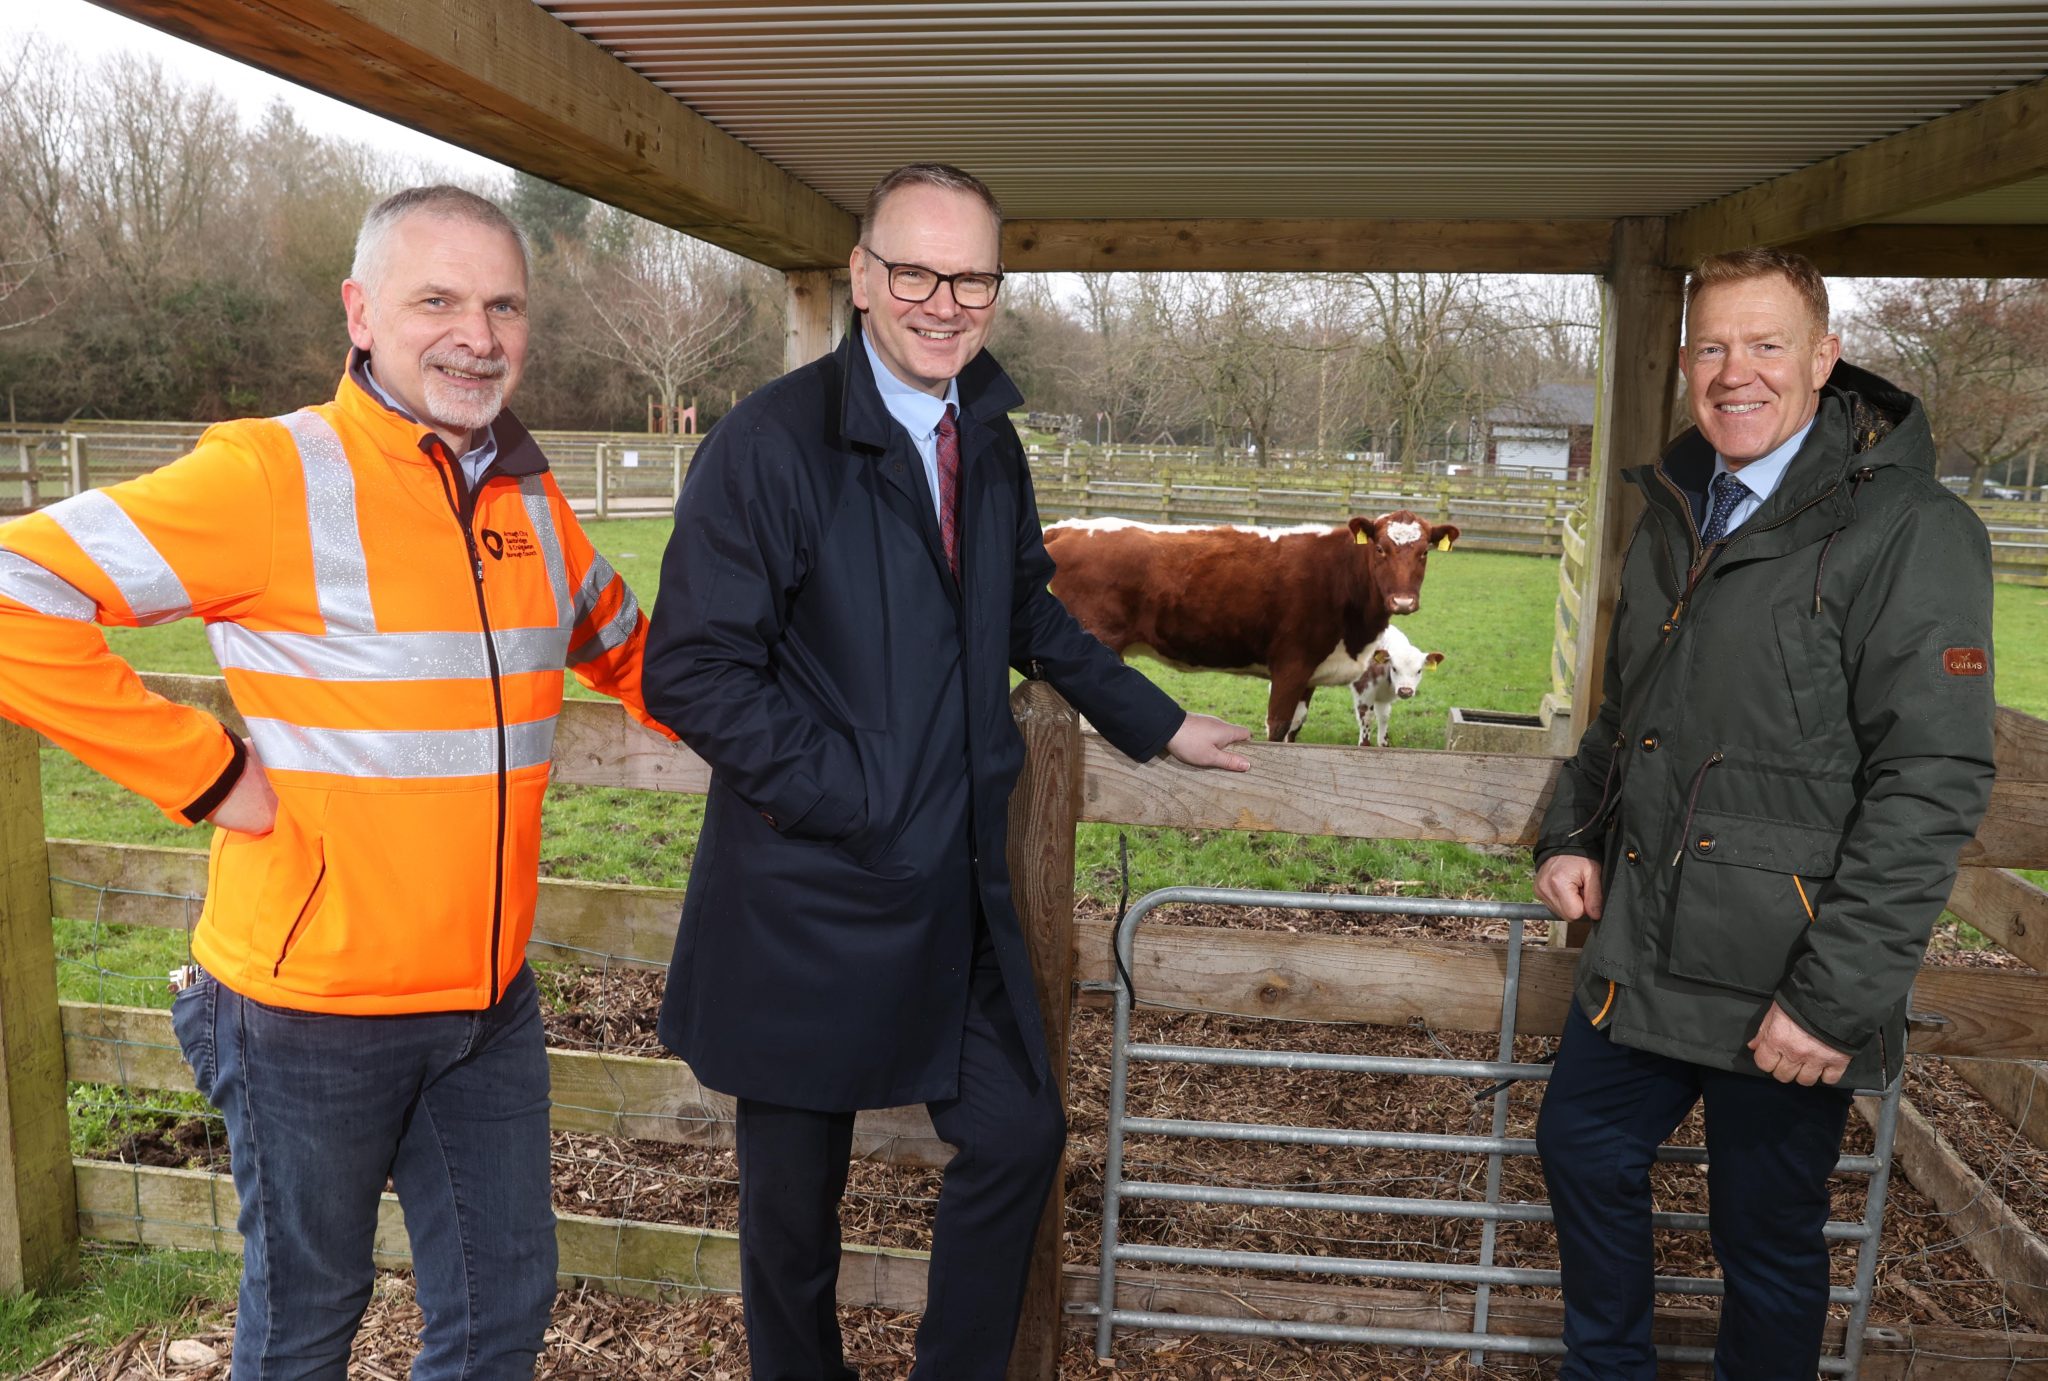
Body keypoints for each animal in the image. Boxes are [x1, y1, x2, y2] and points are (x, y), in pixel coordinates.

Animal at [1040, 508, 1458, 741]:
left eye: (1424, 553)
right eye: (1381, 548)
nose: (1403, 601)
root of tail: (1065, 527)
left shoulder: (1310, 674)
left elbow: (1295, 727)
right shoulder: (1290, 665)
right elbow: (1277, 726)